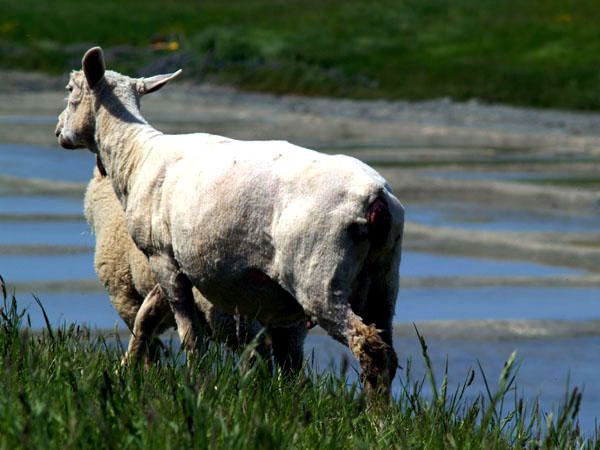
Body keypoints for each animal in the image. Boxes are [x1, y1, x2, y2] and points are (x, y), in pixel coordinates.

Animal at [85, 167, 304, 370]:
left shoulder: (123, 294)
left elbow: (144, 335)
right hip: (282, 316)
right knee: (288, 359)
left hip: (228, 313)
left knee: (256, 352)